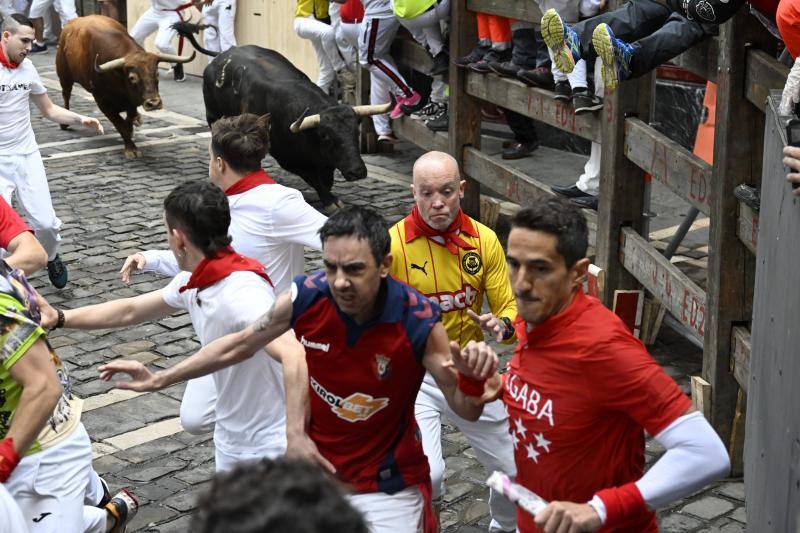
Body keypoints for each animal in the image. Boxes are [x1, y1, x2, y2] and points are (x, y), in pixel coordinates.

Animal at [55, 14, 195, 156]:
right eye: (132, 77)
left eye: (156, 74)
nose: (154, 103)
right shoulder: (103, 102)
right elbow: (120, 125)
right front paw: (131, 148)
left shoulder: (131, 101)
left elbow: (129, 119)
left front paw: (133, 125)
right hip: (64, 77)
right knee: (66, 95)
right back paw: (64, 123)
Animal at [199, 45, 388, 212]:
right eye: (327, 136)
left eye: (356, 132)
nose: (357, 171)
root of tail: (223, 55)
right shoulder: (290, 160)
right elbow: (315, 180)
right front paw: (330, 201)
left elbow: (326, 179)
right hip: (213, 117)